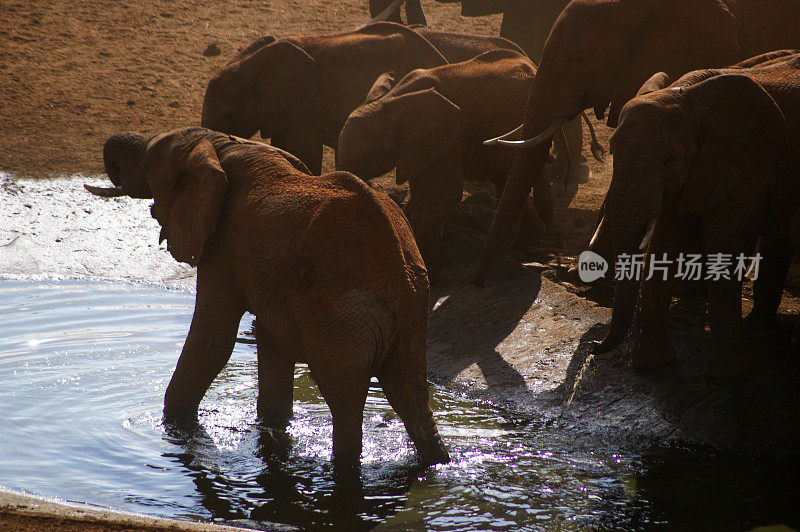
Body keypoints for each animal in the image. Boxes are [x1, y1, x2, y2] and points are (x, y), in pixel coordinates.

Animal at [87, 128, 454, 466]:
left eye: (148, 165)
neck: (219, 143)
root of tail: (400, 276)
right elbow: (270, 341)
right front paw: (272, 431)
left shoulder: (222, 246)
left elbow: (214, 342)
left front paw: (175, 429)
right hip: (411, 317)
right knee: (407, 394)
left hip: (343, 316)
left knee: (344, 395)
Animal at [588, 54, 800, 378]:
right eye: (611, 152)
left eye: (671, 160)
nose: (594, 344)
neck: (686, 95)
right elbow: (664, 241)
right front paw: (652, 365)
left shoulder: (744, 162)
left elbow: (726, 241)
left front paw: (725, 375)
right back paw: (757, 332)